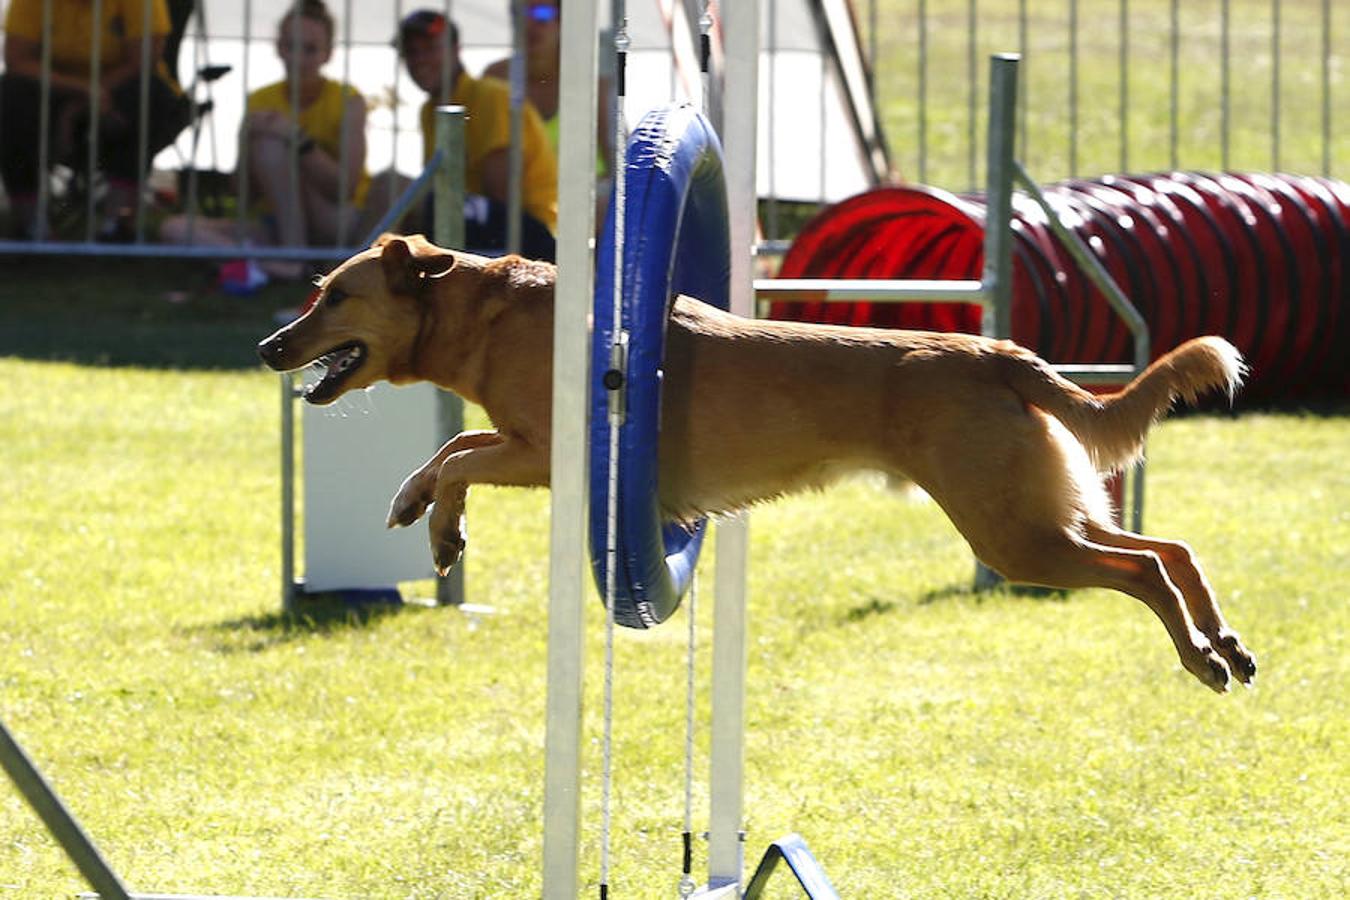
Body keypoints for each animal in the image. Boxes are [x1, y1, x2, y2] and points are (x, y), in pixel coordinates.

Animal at [260, 236, 1252, 696]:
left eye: (335, 296)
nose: (271, 347)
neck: (492, 315)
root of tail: (997, 353)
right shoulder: (532, 448)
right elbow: (454, 449)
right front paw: (422, 513)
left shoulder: (541, 450)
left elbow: (458, 454)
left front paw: (433, 522)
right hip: (1040, 511)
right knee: (1171, 551)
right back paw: (1226, 642)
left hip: (1013, 535)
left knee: (1142, 572)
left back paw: (1203, 659)